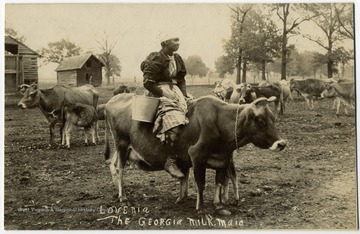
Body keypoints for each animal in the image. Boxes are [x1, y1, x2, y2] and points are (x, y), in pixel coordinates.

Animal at [104, 94, 286, 215]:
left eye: (273, 118)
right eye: (260, 120)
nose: (282, 144)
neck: (220, 122)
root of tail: (112, 100)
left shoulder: (223, 158)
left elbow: (219, 181)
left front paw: (219, 205)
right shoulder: (197, 155)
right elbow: (201, 183)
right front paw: (201, 208)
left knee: (112, 164)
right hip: (121, 144)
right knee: (120, 168)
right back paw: (123, 196)